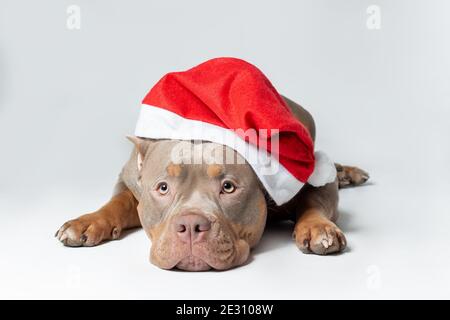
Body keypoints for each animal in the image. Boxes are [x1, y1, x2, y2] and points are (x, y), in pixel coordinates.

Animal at [54, 58, 370, 272]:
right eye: (163, 188)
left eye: (228, 187)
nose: (191, 225)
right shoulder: (130, 179)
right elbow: (117, 201)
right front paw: (87, 221)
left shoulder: (308, 177)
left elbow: (314, 200)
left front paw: (318, 228)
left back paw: (347, 172)